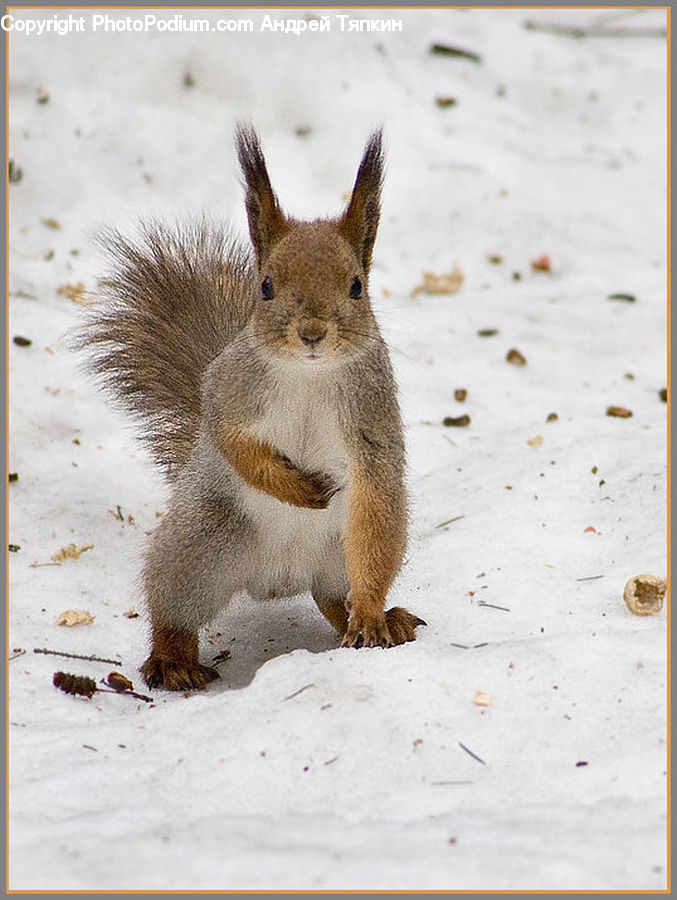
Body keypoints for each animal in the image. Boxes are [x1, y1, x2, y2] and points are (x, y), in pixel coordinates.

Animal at [81, 124, 425, 691]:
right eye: (266, 287)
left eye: (357, 286)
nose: (312, 334)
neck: (309, 374)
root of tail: (278, 578)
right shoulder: (229, 388)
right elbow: (231, 439)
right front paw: (293, 487)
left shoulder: (371, 414)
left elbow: (376, 487)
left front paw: (374, 618)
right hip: (202, 545)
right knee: (173, 604)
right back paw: (173, 660)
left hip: (337, 553)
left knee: (337, 597)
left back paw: (375, 618)